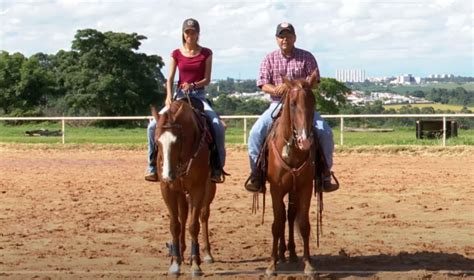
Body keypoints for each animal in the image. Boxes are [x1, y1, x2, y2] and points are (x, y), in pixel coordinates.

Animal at [151, 99, 216, 276]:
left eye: (178, 140)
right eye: (157, 141)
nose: (168, 174)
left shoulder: (197, 188)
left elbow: (194, 225)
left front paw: (195, 264)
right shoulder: (167, 189)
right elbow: (175, 225)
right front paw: (175, 263)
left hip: (209, 188)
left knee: (203, 215)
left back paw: (207, 254)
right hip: (180, 191)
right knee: (183, 216)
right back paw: (180, 252)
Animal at [264, 76, 316, 276]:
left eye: (313, 102)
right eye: (293, 104)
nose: (305, 140)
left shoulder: (305, 188)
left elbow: (304, 224)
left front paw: (308, 264)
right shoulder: (276, 189)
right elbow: (276, 224)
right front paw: (271, 265)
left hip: (293, 191)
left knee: (291, 215)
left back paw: (291, 253)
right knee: (282, 217)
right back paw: (280, 254)